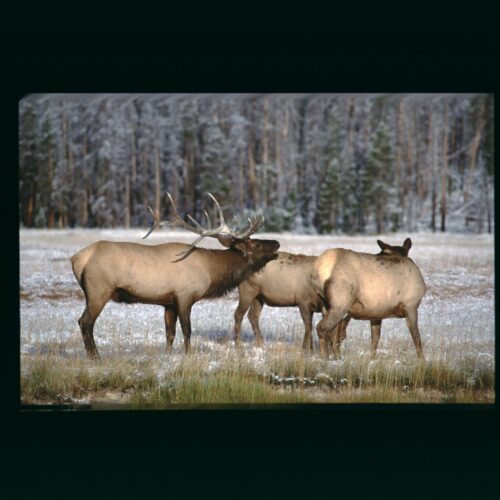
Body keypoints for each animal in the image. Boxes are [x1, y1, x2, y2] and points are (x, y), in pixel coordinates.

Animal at [71, 192, 280, 360]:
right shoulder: (184, 296)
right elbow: (187, 330)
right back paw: (95, 356)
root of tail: (77, 258)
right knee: (85, 322)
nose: (277, 243)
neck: (211, 273)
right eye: (257, 244)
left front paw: (168, 355)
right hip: (99, 290)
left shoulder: (168, 303)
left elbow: (170, 334)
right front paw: (188, 354)